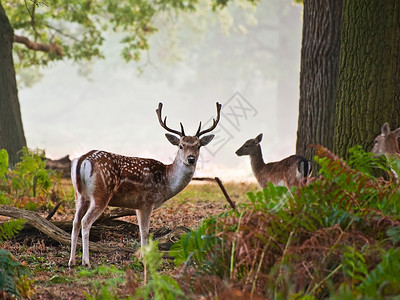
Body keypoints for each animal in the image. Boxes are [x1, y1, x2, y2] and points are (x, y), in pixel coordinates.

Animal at [67, 102, 220, 266]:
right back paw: (86, 262)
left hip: (79, 195)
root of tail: (82, 160)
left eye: (198, 146)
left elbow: (141, 231)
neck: (166, 182)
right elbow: (146, 232)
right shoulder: (148, 201)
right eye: (180, 145)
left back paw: (71, 261)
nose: (191, 159)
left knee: (75, 222)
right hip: (100, 194)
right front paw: (145, 260)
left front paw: (140, 257)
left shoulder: (138, 205)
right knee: (85, 221)